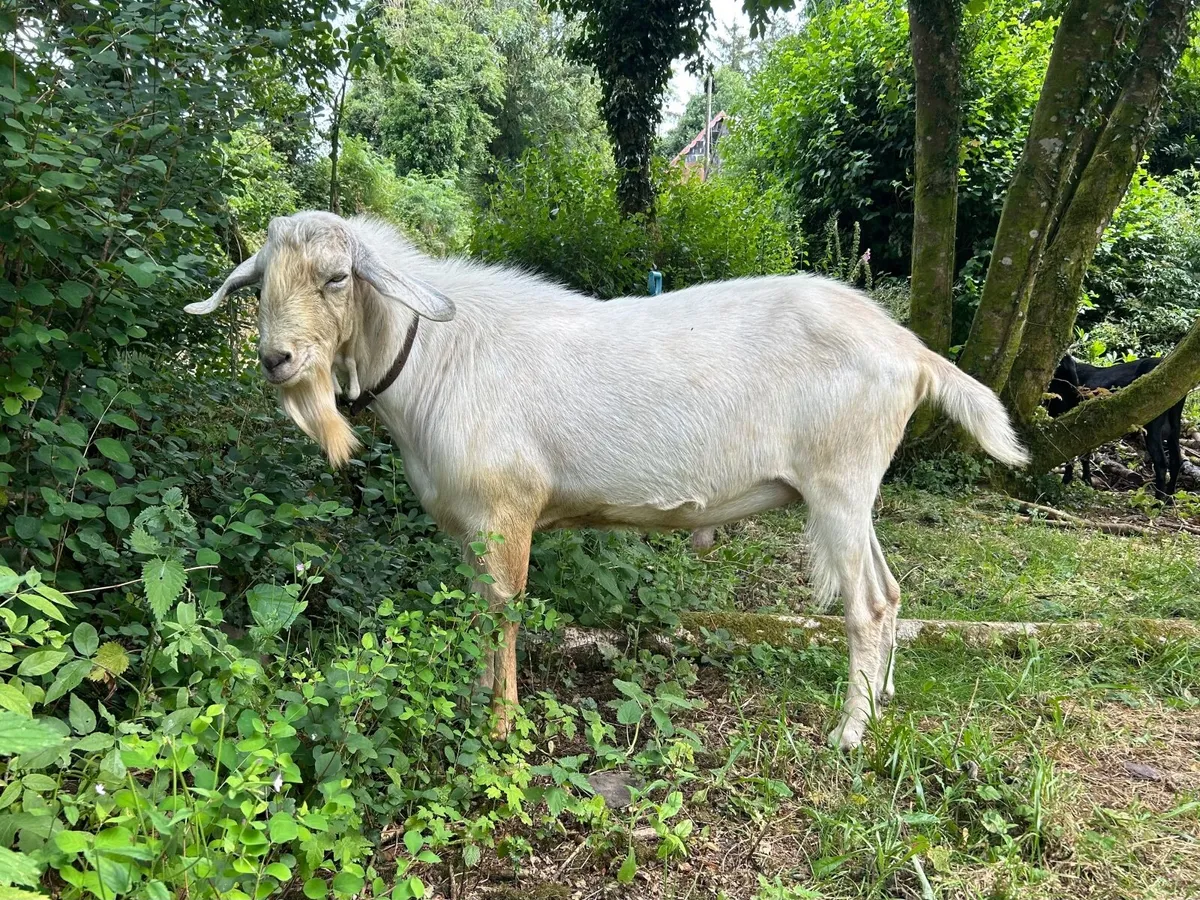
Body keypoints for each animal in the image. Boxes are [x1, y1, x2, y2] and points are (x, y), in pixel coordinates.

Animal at [184, 211, 1029, 750]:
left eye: (335, 277)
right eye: (259, 281)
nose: (277, 359)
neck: (438, 360)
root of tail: (909, 350)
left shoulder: (507, 511)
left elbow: (505, 615)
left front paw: (501, 729)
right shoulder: (466, 526)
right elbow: (476, 615)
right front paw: (475, 701)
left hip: (839, 481)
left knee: (867, 604)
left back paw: (849, 733)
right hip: (855, 490)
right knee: (890, 591)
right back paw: (882, 700)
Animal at [1048, 354, 1185, 501]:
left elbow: (1068, 454)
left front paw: (1066, 481)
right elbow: (1085, 454)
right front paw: (1087, 483)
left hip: (1153, 424)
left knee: (1161, 462)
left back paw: (1158, 500)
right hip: (1174, 426)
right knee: (1176, 460)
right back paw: (1169, 499)